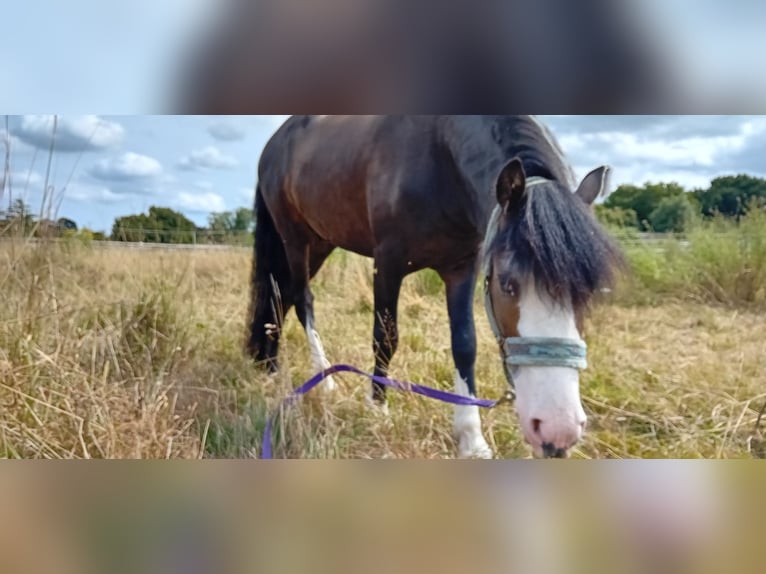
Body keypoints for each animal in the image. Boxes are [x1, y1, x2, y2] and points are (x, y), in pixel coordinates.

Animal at [246, 115, 624, 462]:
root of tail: (274, 143)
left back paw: (270, 364)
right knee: (302, 300)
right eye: (507, 283)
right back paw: (322, 379)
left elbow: (465, 345)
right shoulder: (388, 262)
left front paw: (472, 439)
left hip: (321, 241)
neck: (439, 160)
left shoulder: (462, 268)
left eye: (589, 291)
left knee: (280, 295)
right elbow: (385, 337)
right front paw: (378, 408)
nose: (558, 430)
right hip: (295, 239)